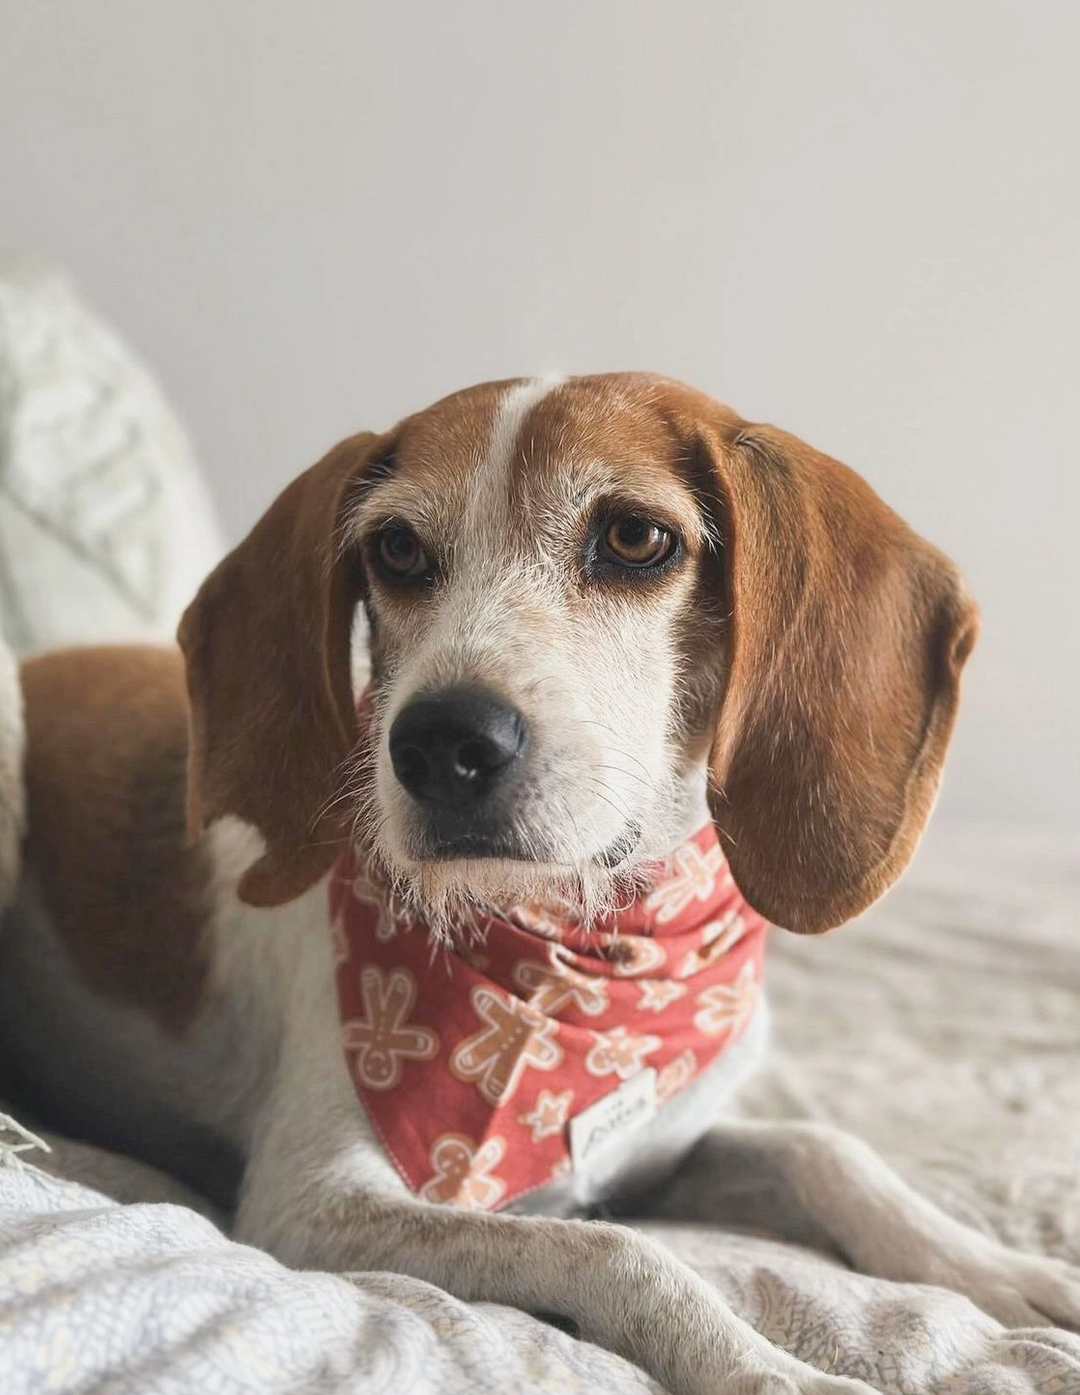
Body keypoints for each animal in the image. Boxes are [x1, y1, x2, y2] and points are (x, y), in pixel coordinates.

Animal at [0, 373, 1077, 1395]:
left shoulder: (659, 1151)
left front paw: (993, 1266)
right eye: (396, 549)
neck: (596, 942)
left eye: (635, 537)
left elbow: (821, 1147)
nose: (439, 744)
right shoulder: (315, 1204)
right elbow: (617, 1251)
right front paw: (766, 1368)